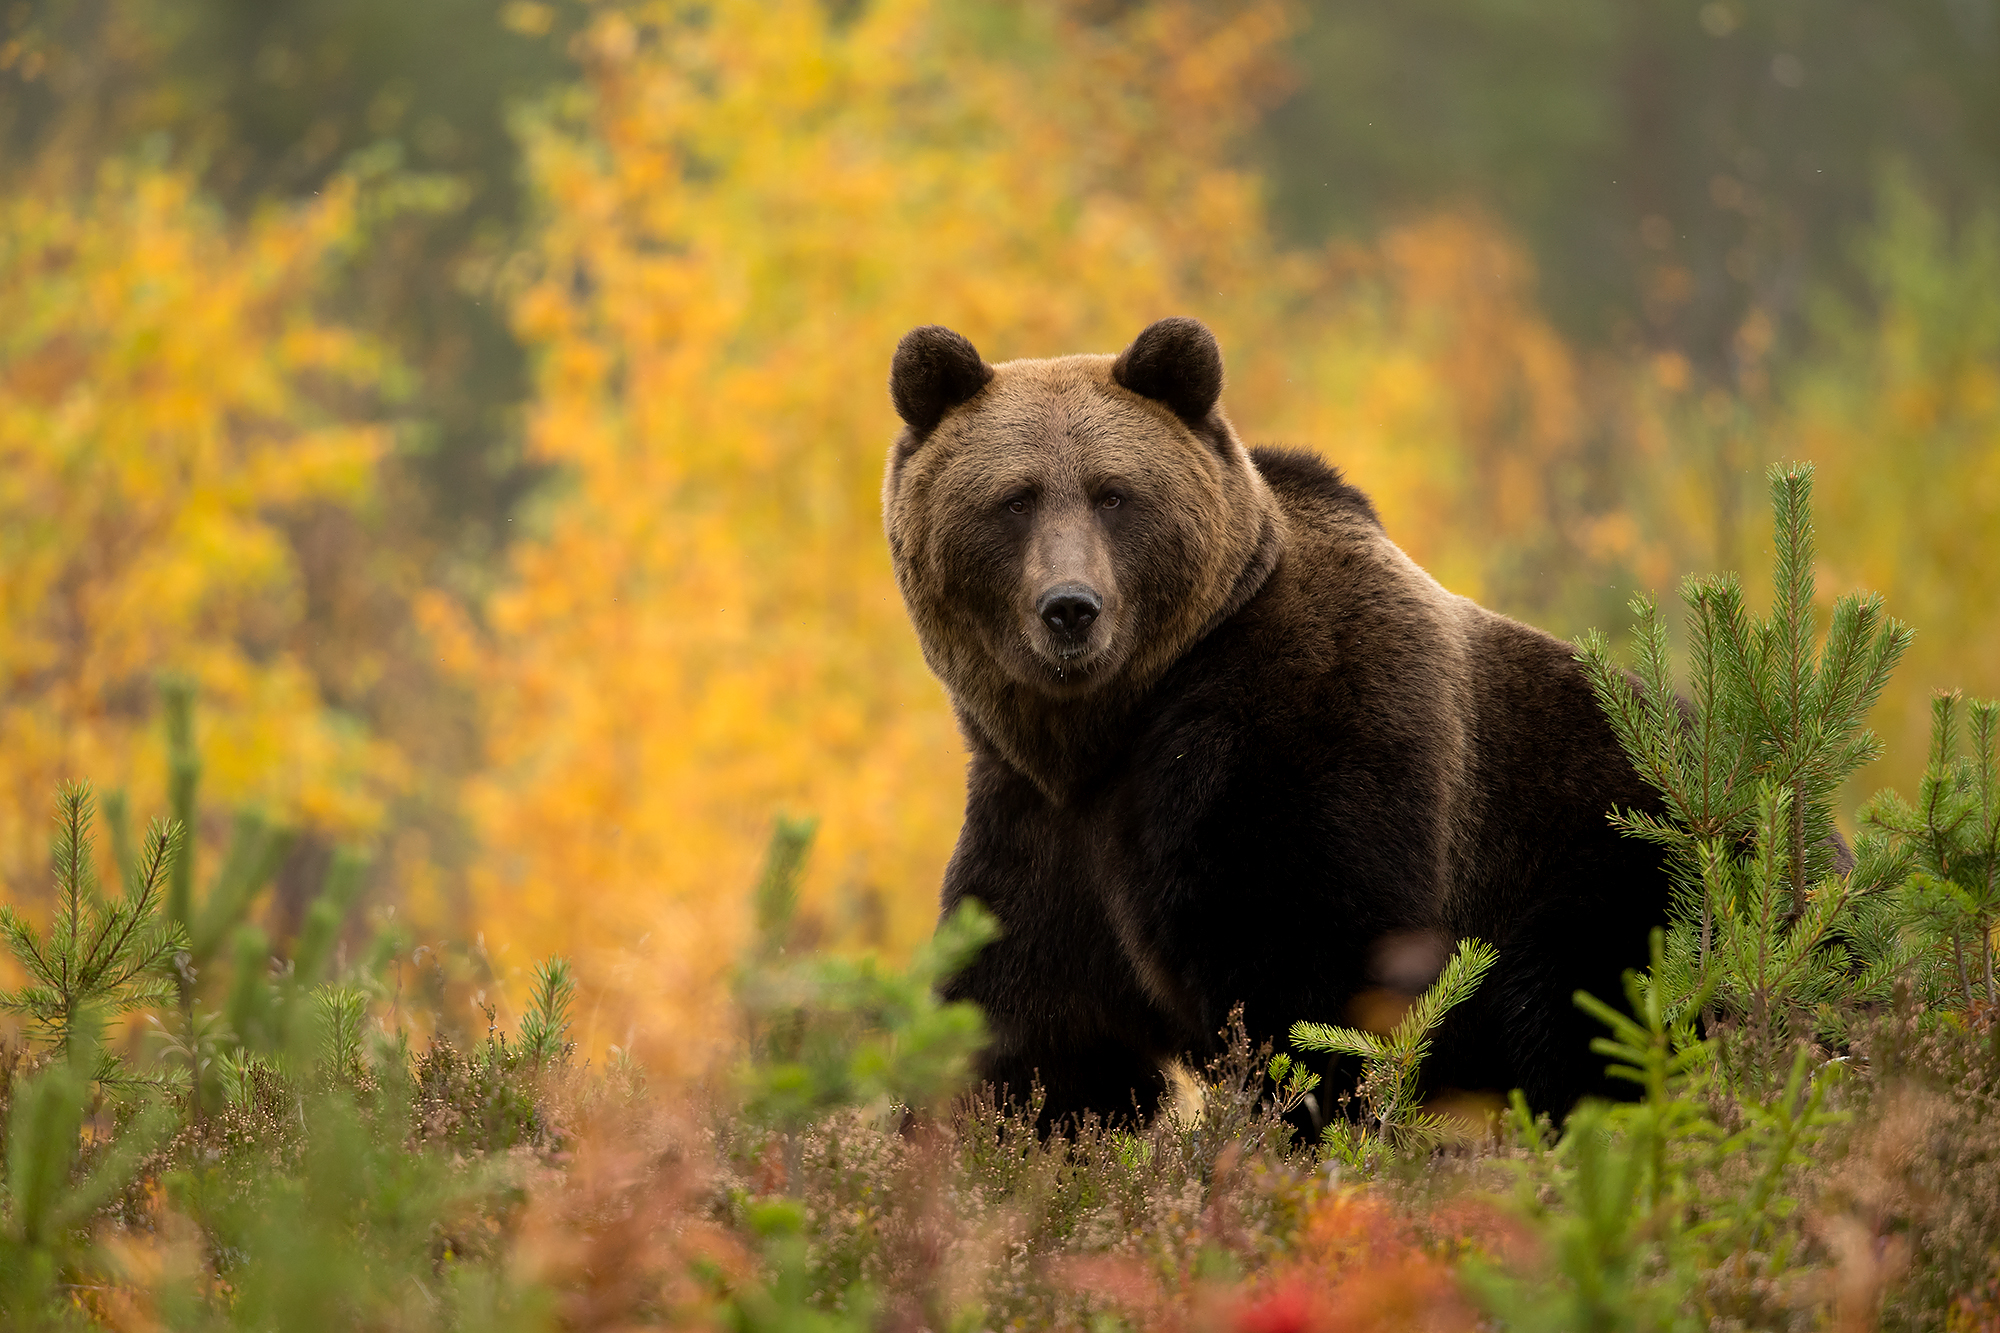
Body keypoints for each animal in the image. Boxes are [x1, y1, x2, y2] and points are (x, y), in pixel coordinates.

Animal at [881, 316, 1670, 1126]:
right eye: (1015, 499)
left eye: (1113, 494)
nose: (1070, 606)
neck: (1113, 724)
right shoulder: (1039, 832)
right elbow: (1033, 1042)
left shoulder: (1301, 742)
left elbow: (1307, 993)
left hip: (1608, 870)